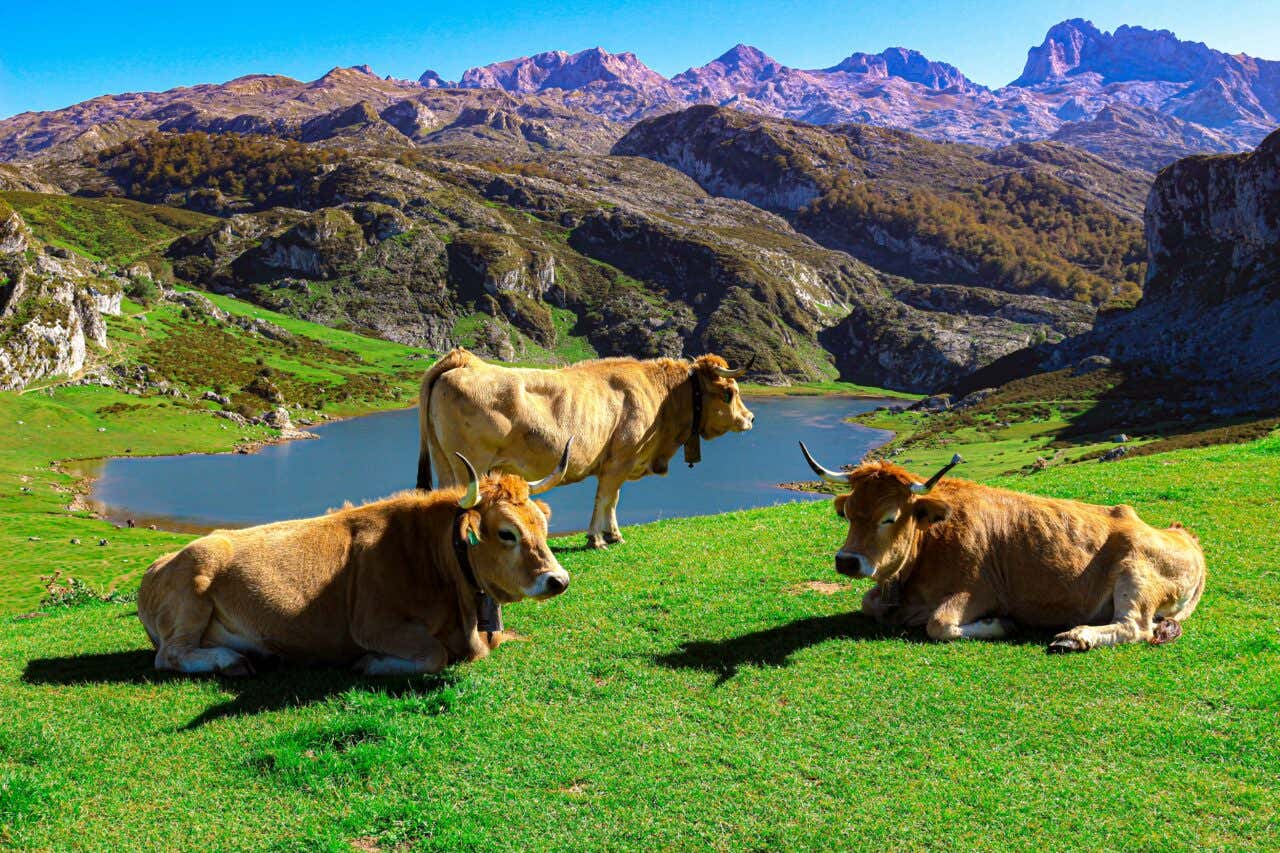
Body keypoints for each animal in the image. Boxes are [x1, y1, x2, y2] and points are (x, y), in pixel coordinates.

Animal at [137, 443, 573, 676]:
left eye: (543, 526)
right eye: (507, 533)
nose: (559, 580)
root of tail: (158, 565)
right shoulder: (374, 624)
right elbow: (433, 654)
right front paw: (369, 664)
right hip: (195, 582)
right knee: (169, 655)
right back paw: (230, 660)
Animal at [418, 348, 755, 549]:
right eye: (729, 393)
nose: (750, 418)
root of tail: (463, 360)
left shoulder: (615, 463)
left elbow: (612, 500)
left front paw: (612, 533)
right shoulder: (621, 459)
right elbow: (605, 497)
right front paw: (597, 538)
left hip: (443, 461)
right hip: (470, 464)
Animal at [798, 444, 1207, 652]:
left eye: (889, 517)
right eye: (849, 513)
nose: (847, 561)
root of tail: (1185, 538)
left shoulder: (979, 589)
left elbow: (939, 624)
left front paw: (1002, 624)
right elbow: (869, 604)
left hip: (1135, 574)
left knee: (1134, 626)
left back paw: (1075, 637)